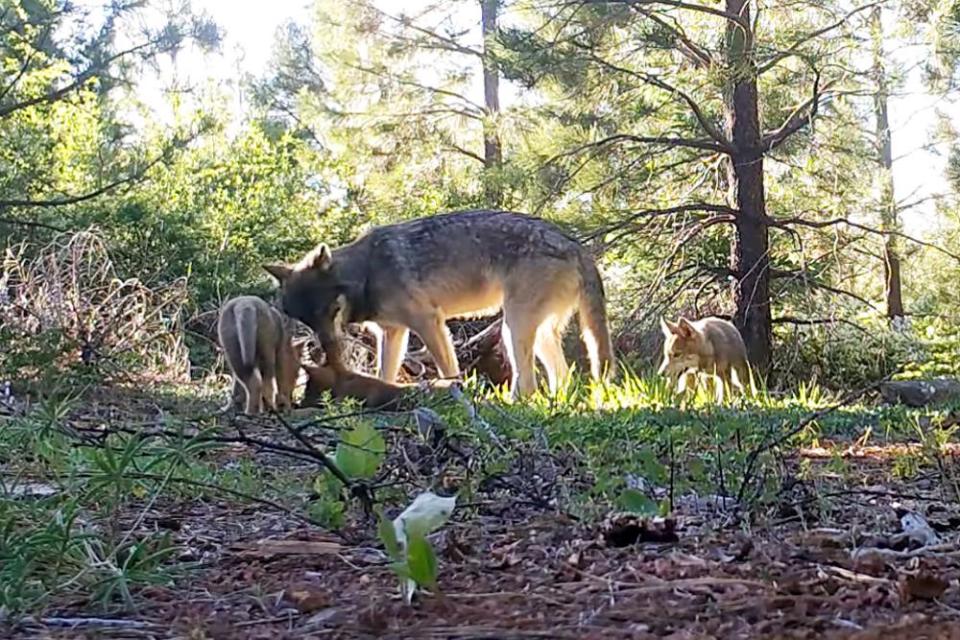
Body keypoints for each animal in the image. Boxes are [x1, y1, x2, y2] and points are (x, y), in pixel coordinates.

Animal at [264, 210, 616, 398]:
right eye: (306, 321)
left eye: (327, 311)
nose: (326, 348)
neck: (367, 272)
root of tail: (576, 245)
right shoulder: (392, 333)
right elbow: (385, 373)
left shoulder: (429, 321)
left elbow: (448, 367)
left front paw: (454, 390)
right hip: (533, 334)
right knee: (563, 377)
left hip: (512, 329)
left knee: (529, 384)